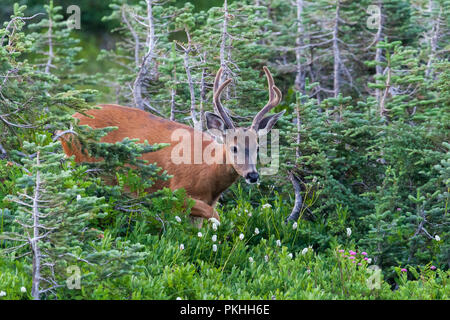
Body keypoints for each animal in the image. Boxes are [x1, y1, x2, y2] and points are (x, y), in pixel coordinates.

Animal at [59, 66, 284, 226]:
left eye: (258, 148)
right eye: (233, 147)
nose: (252, 175)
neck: (208, 173)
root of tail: (69, 123)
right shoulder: (175, 191)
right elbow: (216, 216)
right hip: (82, 164)